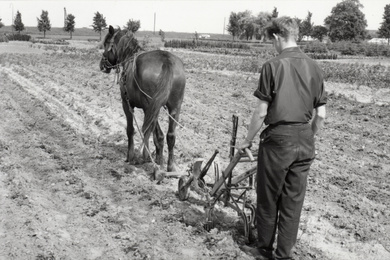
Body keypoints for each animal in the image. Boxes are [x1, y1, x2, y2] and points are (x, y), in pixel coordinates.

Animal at [100, 25, 187, 172]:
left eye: (106, 43)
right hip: (174, 107)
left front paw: (130, 156)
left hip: (150, 106)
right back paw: (167, 166)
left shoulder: (127, 104)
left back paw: (144, 158)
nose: (102, 65)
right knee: (169, 135)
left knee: (150, 131)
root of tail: (167, 60)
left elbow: (130, 130)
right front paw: (156, 159)